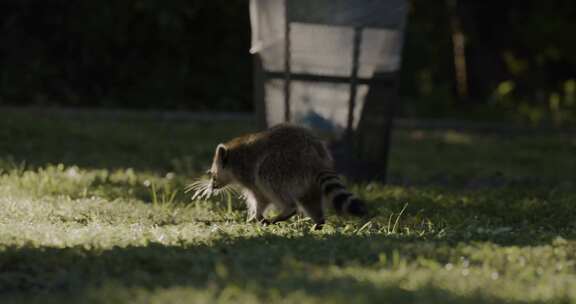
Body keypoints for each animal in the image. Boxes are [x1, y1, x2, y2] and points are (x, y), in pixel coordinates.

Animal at [208, 123, 364, 228]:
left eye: (213, 175)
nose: (212, 186)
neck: (232, 155)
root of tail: (313, 155)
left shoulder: (248, 173)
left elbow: (261, 197)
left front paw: (256, 216)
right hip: (308, 179)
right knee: (310, 199)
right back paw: (319, 222)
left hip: (282, 165)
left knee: (267, 179)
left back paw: (288, 210)